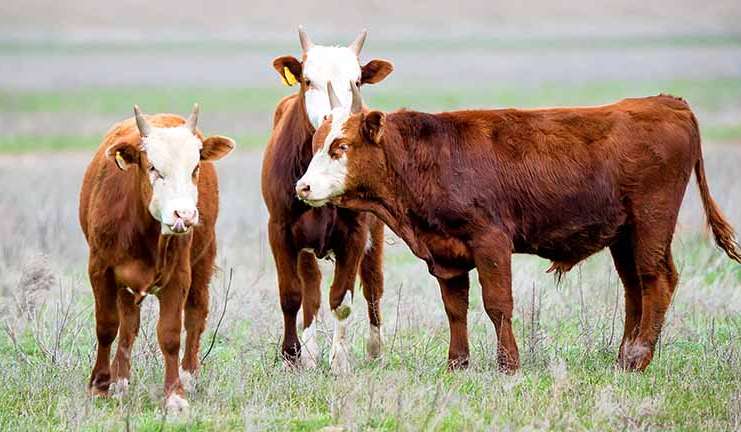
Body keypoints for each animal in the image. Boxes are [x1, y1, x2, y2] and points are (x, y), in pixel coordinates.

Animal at [79, 105, 234, 412]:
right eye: (153, 168)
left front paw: (175, 394)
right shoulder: (100, 270)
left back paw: (189, 376)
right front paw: (100, 385)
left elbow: (171, 334)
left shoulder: (179, 277)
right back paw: (120, 380)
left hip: (202, 261)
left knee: (195, 315)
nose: (184, 214)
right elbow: (107, 326)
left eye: (195, 168)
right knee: (128, 324)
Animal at [262, 27, 393, 373]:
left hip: (375, 235)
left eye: (357, 81)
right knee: (310, 288)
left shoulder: (355, 234)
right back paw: (308, 354)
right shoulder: (280, 229)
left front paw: (340, 361)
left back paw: (375, 349)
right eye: (308, 80)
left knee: (373, 286)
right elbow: (292, 295)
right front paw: (292, 355)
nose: (332, 118)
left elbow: (342, 300)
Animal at [296, 83, 741, 373]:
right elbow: (455, 309)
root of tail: (668, 103)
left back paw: (638, 358)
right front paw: (457, 363)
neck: (427, 159)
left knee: (657, 281)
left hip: (652, 221)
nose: (303, 187)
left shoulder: (491, 241)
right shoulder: (445, 252)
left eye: (341, 147)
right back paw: (622, 357)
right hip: (624, 234)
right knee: (635, 288)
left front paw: (509, 364)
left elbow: (497, 305)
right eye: (315, 146)